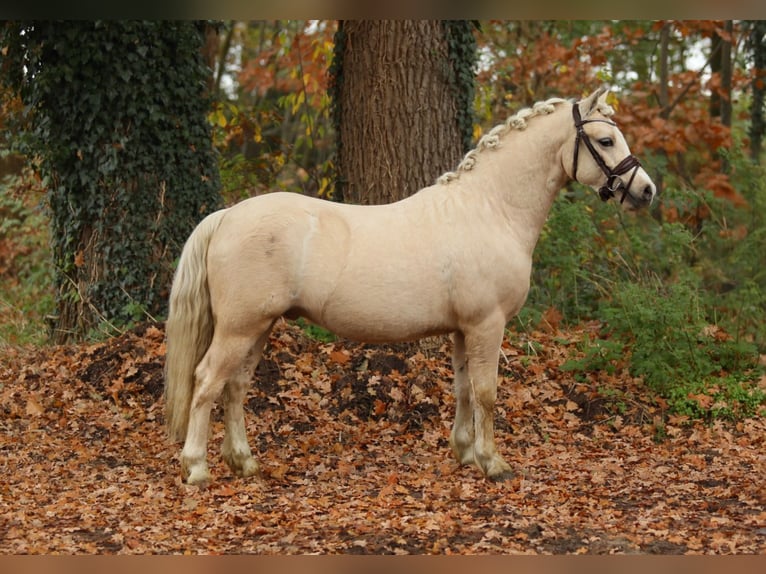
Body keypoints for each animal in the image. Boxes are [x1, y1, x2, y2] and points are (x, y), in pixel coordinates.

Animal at [164, 87, 656, 486]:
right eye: (606, 140)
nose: (647, 191)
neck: (490, 208)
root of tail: (226, 216)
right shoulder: (487, 324)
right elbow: (487, 392)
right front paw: (494, 464)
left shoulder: (463, 329)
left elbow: (463, 389)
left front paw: (464, 453)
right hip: (239, 328)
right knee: (207, 382)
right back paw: (197, 468)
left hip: (259, 327)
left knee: (235, 386)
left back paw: (243, 461)